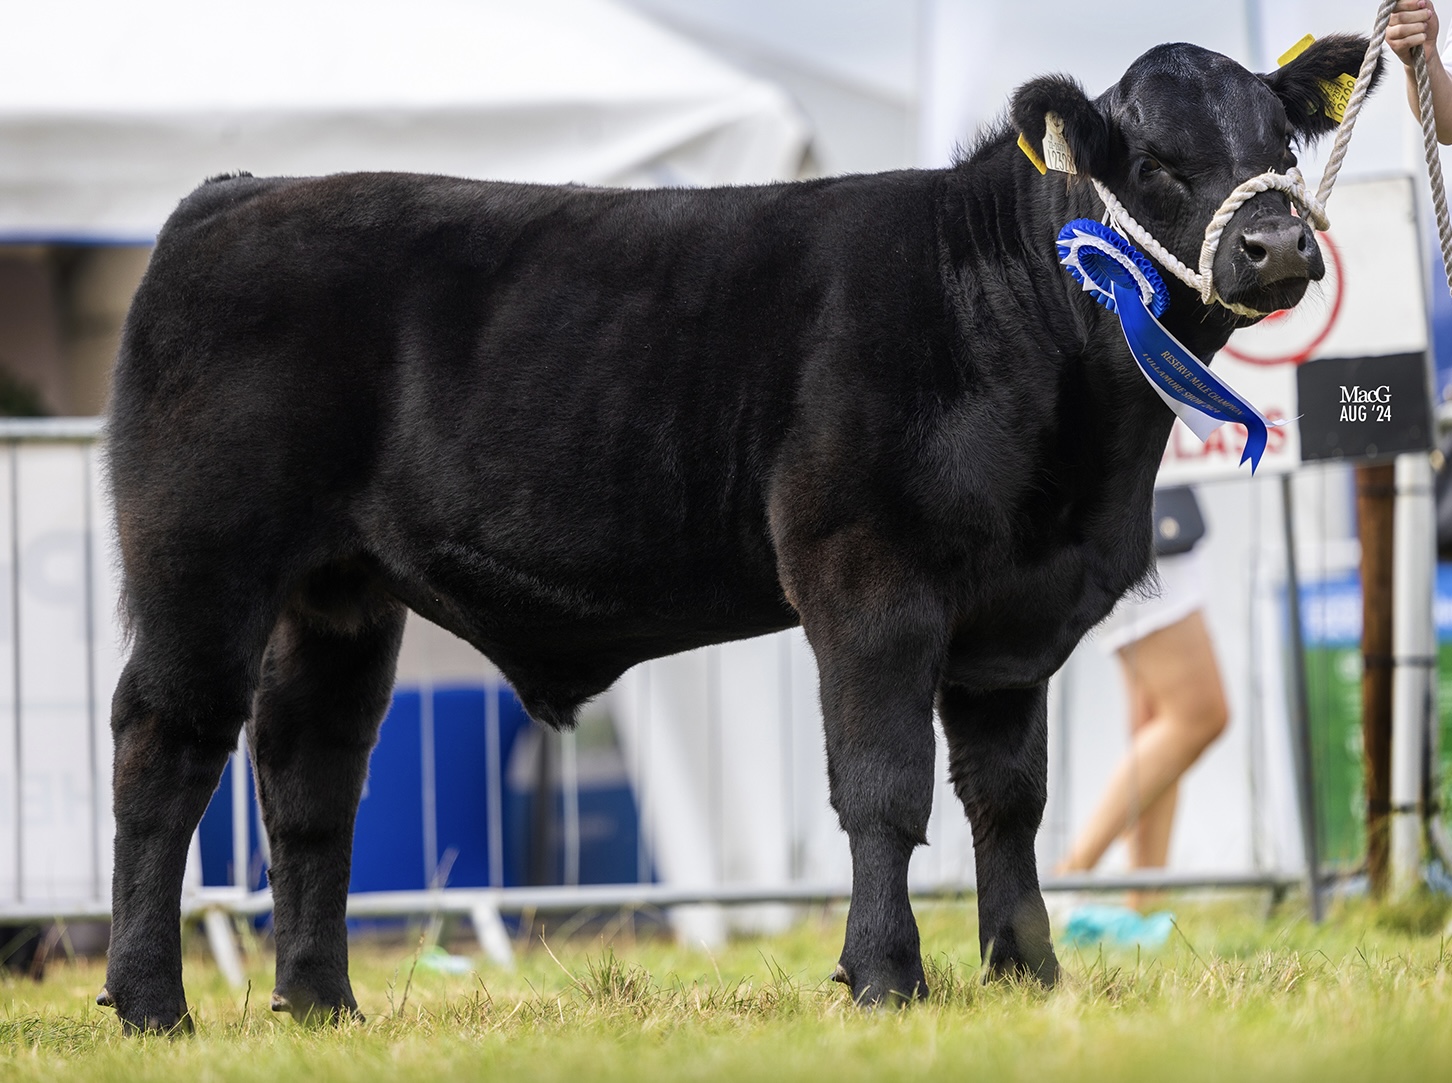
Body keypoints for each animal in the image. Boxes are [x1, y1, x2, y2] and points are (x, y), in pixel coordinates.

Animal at [98, 35, 1378, 1032]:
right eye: (1157, 163)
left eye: (1282, 146)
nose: (1278, 244)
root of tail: (239, 193)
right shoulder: (870, 577)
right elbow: (884, 788)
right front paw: (887, 979)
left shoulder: (1012, 623)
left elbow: (1009, 800)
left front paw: (1028, 978)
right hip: (201, 559)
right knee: (165, 746)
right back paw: (152, 1004)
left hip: (339, 592)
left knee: (310, 774)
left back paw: (321, 1005)